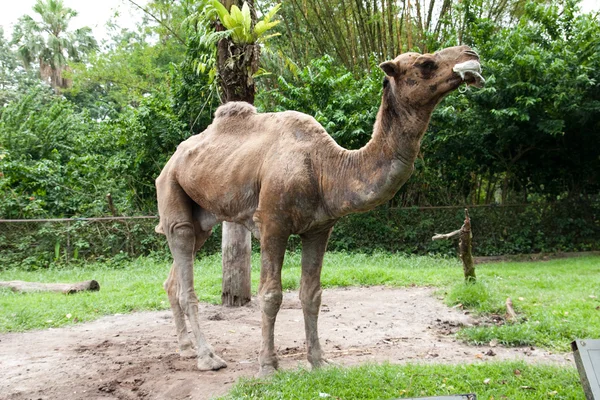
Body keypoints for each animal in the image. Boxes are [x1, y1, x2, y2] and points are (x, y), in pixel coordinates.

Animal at [155, 45, 482, 376]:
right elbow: (271, 294)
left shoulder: (319, 228)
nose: (471, 53)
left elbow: (311, 294)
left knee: (174, 279)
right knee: (185, 276)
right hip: (171, 194)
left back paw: (185, 348)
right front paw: (268, 366)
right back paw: (208, 357)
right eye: (426, 64)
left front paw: (319, 362)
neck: (325, 167)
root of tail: (171, 161)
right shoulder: (273, 223)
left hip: (202, 219)